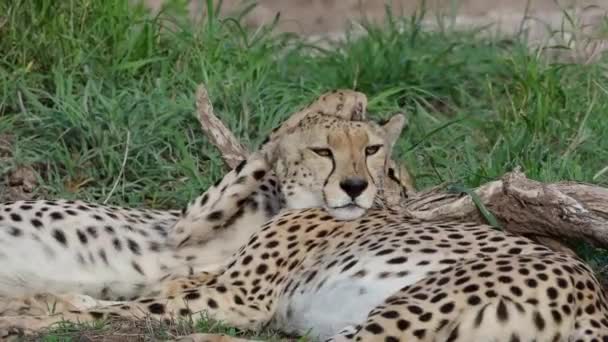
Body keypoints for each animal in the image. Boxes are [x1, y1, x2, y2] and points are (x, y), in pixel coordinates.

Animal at [0, 89, 414, 300]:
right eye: (323, 152)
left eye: (372, 152)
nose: (355, 187)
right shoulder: (182, 229)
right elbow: (271, 140)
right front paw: (342, 100)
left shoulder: (193, 254)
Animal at [2, 111, 604, 340]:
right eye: (323, 150)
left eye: (373, 150)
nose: (355, 186)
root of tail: (590, 290)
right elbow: (156, 286)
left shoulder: (237, 296)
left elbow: (134, 303)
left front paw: (36, 310)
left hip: (410, 304)